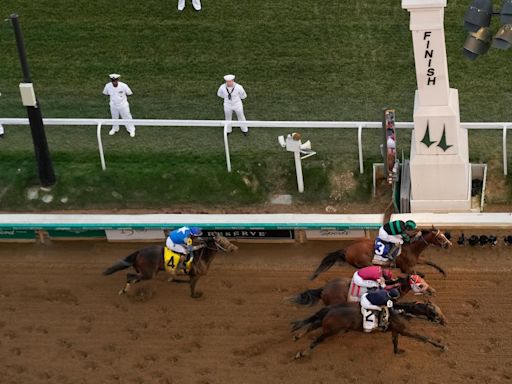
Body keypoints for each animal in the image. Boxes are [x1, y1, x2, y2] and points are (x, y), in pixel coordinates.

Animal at [104, 234, 240, 300]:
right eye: (222, 242)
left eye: (227, 240)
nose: (235, 248)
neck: (201, 256)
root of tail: (139, 251)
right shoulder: (195, 275)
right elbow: (192, 286)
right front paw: (195, 295)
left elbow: (183, 281)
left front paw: (172, 279)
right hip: (149, 273)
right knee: (129, 276)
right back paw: (124, 290)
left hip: (145, 272)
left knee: (132, 277)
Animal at [292, 298, 448, 358]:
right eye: (436, 312)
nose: (445, 322)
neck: (401, 311)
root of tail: (331, 308)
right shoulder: (406, 331)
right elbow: (424, 338)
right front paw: (442, 346)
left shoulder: (395, 330)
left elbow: (395, 342)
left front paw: (397, 352)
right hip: (331, 330)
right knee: (317, 340)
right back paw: (302, 352)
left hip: (326, 324)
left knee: (312, 325)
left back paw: (297, 336)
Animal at [308, 228, 452, 280]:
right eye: (440, 238)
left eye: (444, 235)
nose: (449, 244)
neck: (412, 247)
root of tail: (347, 249)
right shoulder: (406, 268)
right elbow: (419, 274)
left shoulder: (417, 260)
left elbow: (430, 263)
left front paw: (444, 272)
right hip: (366, 263)